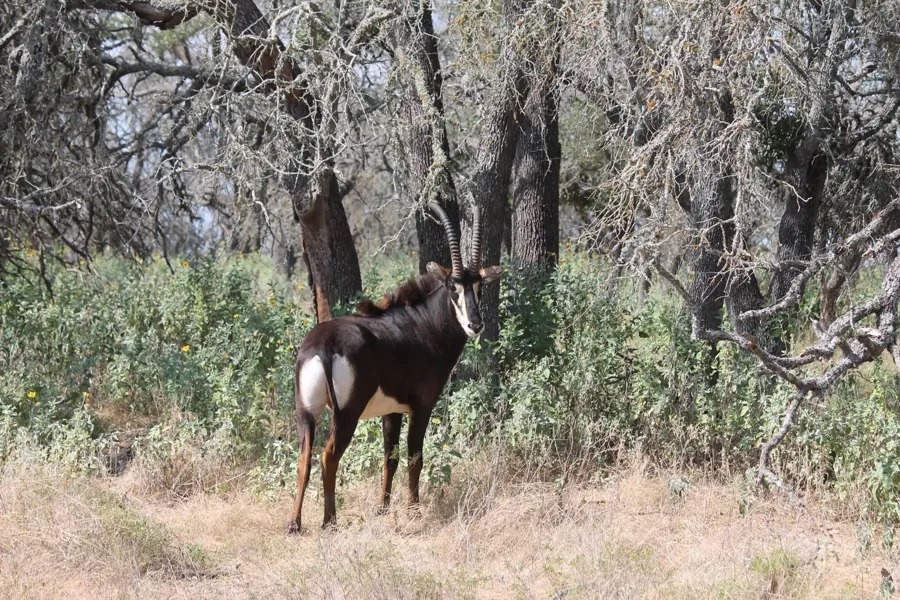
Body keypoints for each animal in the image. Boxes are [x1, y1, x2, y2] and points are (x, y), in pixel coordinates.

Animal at [287, 203, 502, 533]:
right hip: (346, 413)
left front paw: (383, 508)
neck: (423, 323)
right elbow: (415, 456)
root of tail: (322, 345)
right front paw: (414, 511)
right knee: (329, 455)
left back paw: (295, 524)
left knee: (304, 458)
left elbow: (390, 457)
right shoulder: (421, 406)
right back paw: (330, 521)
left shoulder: (391, 411)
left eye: (478, 286)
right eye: (452, 286)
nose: (475, 325)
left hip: (306, 412)